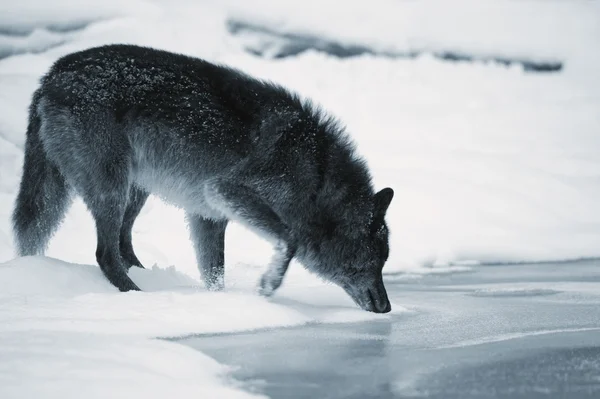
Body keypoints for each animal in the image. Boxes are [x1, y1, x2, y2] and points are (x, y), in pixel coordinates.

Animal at [12, 43, 394, 312]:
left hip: (133, 191)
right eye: (372, 263)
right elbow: (289, 239)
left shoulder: (209, 215)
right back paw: (140, 297)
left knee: (121, 245)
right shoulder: (226, 189)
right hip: (113, 189)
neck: (315, 175)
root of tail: (52, 74)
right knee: (106, 253)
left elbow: (215, 275)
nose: (386, 307)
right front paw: (268, 285)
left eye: (382, 264)